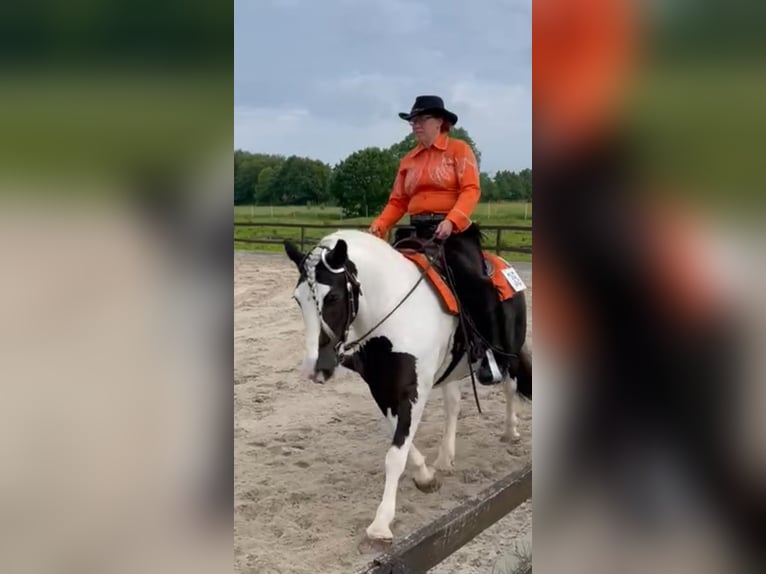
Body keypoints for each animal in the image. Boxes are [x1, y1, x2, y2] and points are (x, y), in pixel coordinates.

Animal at [284, 227, 536, 544]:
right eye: (298, 299)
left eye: (333, 297)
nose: (315, 367)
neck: (391, 314)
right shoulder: (382, 388)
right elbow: (400, 440)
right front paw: (426, 476)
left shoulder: (412, 390)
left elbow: (395, 455)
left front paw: (381, 523)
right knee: (454, 405)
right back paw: (445, 457)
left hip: (508, 350)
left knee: (510, 386)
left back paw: (510, 431)